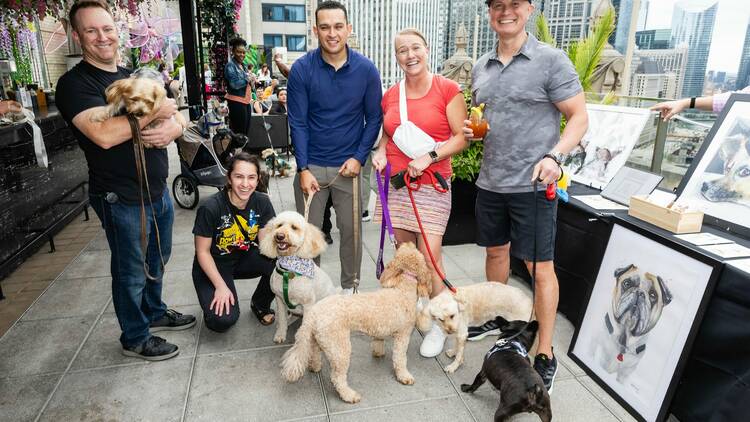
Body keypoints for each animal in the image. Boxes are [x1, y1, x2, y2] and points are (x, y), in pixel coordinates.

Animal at [260, 209, 340, 344]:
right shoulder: (279, 299)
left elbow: (305, 327)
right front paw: (280, 334)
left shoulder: (308, 305)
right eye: (279, 225)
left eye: (294, 227)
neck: (289, 271)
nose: (279, 236)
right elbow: (282, 319)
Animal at [280, 241, 434, 402]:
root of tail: (313, 314)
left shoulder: (380, 329)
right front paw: (404, 376)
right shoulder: (403, 336)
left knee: (314, 353)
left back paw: (315, 367)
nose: (408, 242)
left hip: (318, 339)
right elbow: (400, 358)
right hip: (340, 347)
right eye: (415, 250)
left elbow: (378, 341)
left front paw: (378, 352)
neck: (402, 289)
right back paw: (349, 395)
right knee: (337, 377)